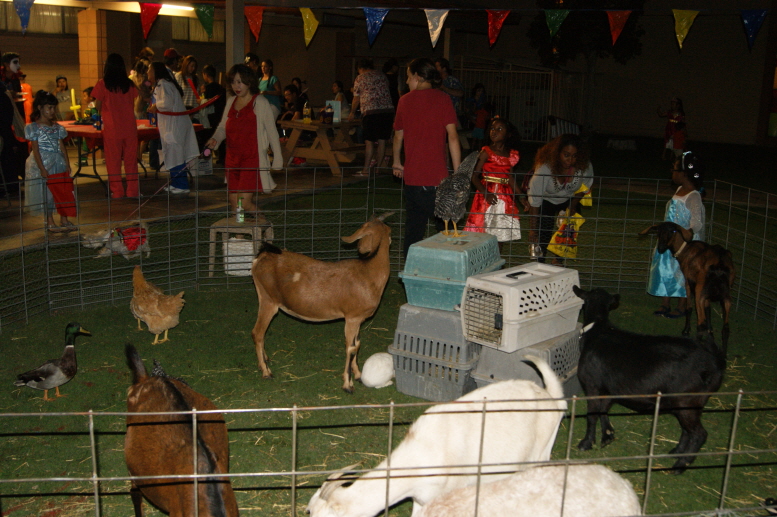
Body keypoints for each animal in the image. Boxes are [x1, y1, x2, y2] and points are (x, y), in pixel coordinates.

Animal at [251, 213, 393, 393]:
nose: (360, 248)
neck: (368, 274)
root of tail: (262, 256)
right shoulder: (351, 318)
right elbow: (351, 348)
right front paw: (348, 385)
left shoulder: (359, 319)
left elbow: (357, 344)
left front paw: (359, 375)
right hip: (269, 300)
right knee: (258, 333)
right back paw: (266, 371)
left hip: (264, 298)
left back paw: (265, 360)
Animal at [573, 286, 725, 474]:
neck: (597, 329)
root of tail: (715, 363)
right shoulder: (610, 389)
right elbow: (603, 410)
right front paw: (608, 436)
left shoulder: (591, 384)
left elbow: (592, 415)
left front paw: (586, 443)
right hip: (692, 402)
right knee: (687, 430)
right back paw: (676, 452)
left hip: (686, 400)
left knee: (699, 433)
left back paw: (680, 465)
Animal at [640, 221, 735, 357]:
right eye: (658, 232)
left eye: (672, 231)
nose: (661, 248)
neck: (685, 249)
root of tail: (720, 265)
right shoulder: (707, 296)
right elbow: (708, 310)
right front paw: (711, 336)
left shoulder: (688, 282)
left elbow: (689, 308)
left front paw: (685, 331)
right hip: (726, 296)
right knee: (726, 328)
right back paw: (723, 354)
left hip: (700, 291)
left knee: (701, 323)